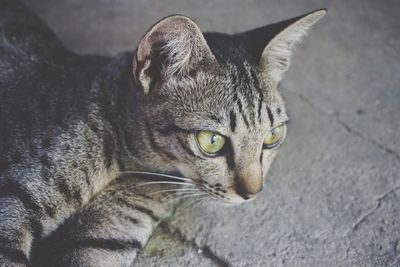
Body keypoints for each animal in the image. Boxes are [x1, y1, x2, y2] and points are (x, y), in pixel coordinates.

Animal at [0, 0, 324, 266]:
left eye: (272, 136)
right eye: (212, 141)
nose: (252, 194)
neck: (124, 163)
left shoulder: (107, 238)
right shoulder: (12, 201)